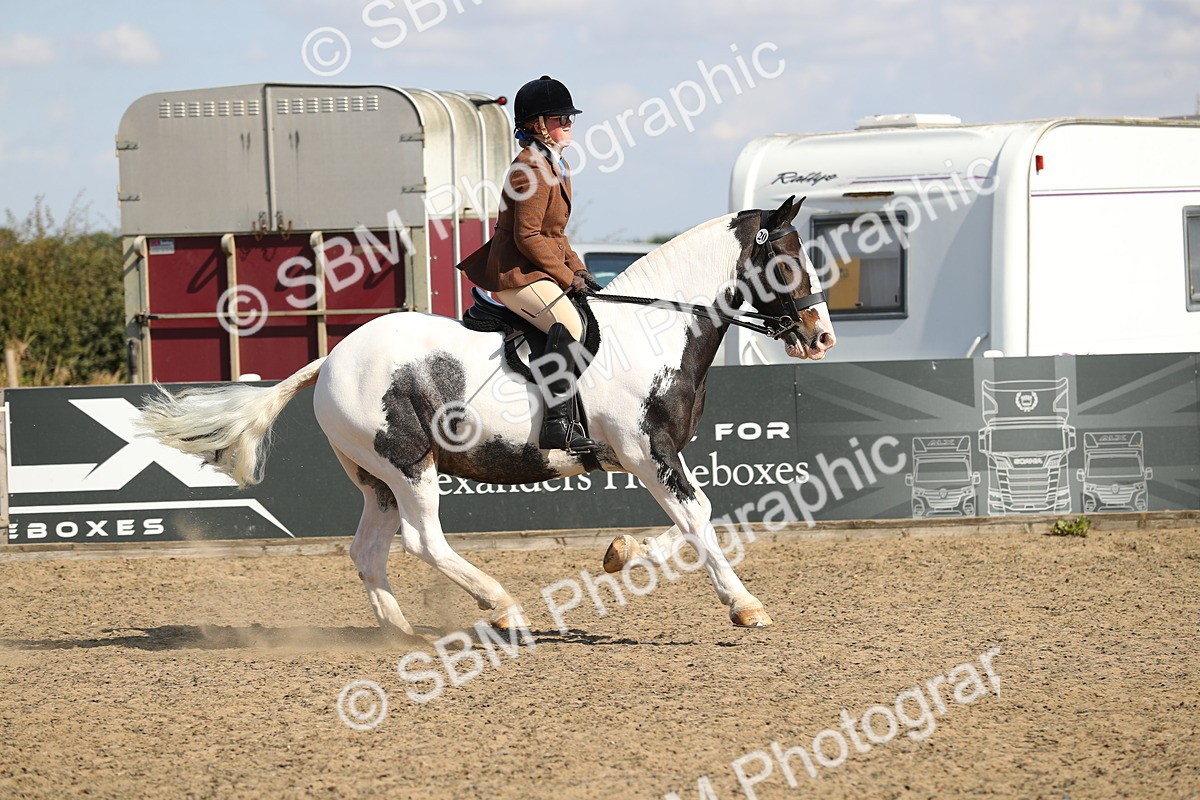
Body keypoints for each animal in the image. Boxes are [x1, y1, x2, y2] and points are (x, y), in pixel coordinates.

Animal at [137, 195, 835, 635]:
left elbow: (693, 519)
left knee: (369, 550)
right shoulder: (647, 452)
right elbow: (699, 516)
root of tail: (333, 356)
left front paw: (621, 553)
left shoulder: (648, 456)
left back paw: (403, 632)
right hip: (409, 464)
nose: (821, 336)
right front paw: (744, 606)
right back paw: (502, 609)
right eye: (789, 259)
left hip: (376, 479)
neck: (656, 328)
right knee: (423, 540)